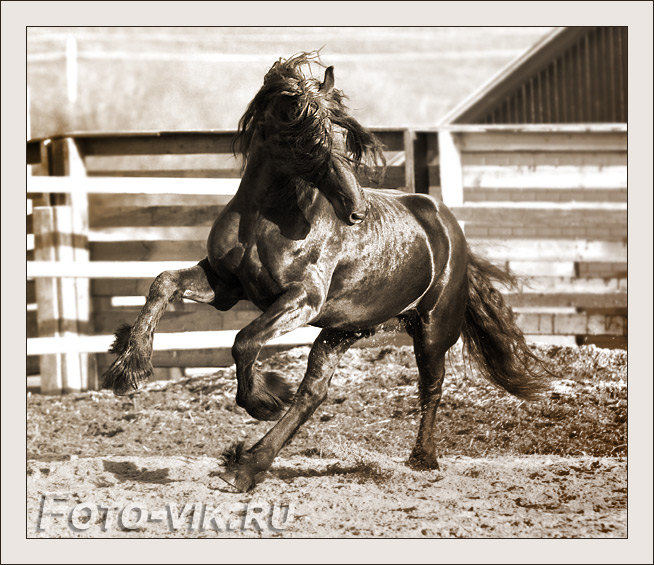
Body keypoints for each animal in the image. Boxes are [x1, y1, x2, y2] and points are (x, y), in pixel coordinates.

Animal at [105, 55, 552, 492]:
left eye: (343, 134)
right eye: (306, 136)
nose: (357, 210)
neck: (263, 219)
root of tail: (446, 224)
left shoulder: (302, 299)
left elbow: (244, 341)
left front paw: (265, 399)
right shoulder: (226, 285)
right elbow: (163, 283)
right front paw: (129, 368)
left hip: (431, 327)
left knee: (431, 386)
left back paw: (420, 459)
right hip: (341, 331)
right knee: (314, 393)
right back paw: (248, 466)